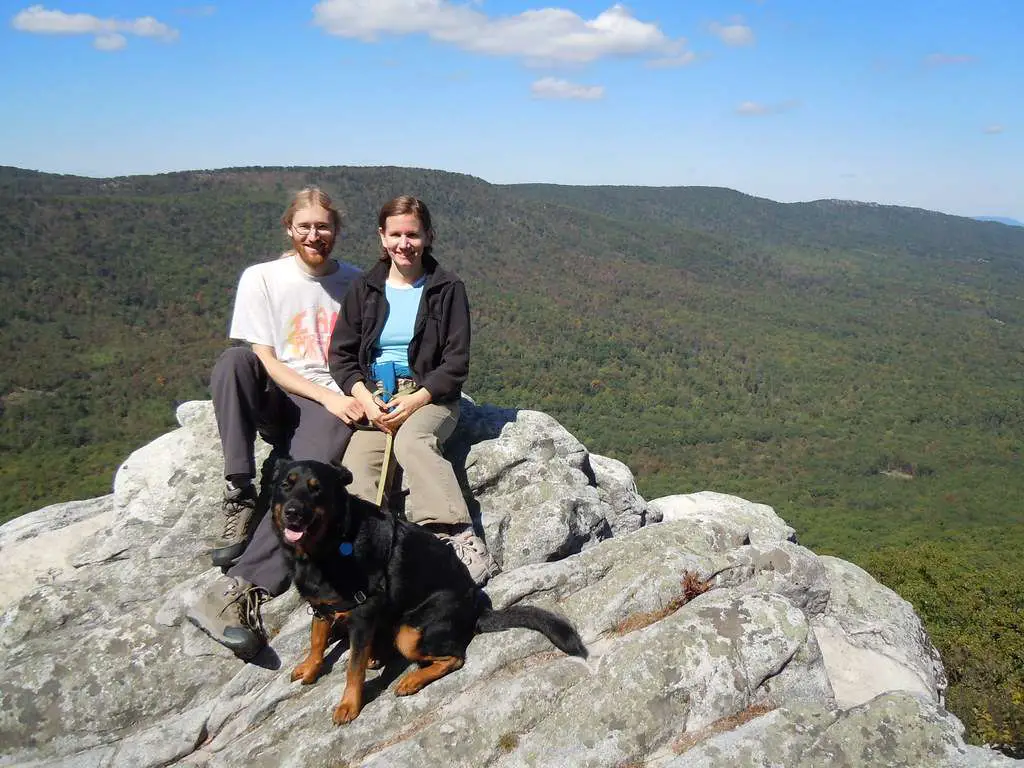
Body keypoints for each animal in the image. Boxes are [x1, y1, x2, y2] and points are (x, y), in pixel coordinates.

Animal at [268, 462, 589, 729]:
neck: (332, 544)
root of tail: (477, 609)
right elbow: (316, 640)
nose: (293, 512)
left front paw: (349, 705)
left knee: (454, 657)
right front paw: (310, 668)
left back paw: (411, 678)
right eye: (286, 484)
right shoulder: (320, 607)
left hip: (410, 633)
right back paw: (378, 654)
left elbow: (352, 668)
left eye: (317, 489)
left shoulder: (362, 612)